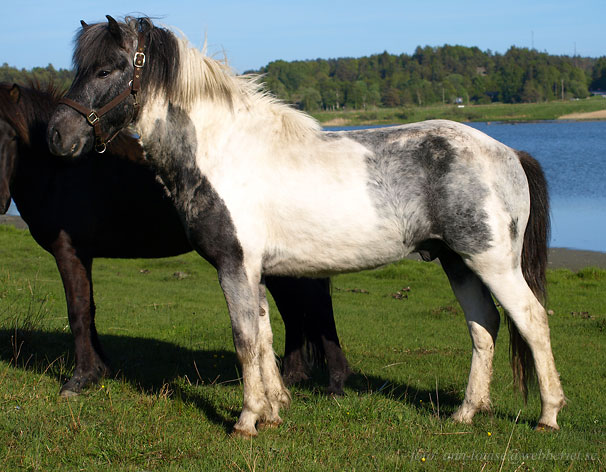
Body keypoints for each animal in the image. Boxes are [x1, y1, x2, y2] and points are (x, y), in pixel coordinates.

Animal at [0, 84, 352, 394]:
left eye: (10, 136)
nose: (0, 200)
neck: (62, 173)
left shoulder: (70, 251)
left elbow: (78, 312)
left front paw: (81, 379)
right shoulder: (81, 255)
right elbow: (89, 310)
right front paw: (99, 369)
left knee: (314, 308)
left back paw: (332, 382)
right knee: (295, 312)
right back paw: (293, 376)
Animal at [46, 16, 564, 436]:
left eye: (107, 69)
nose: (58, 134)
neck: (224, 151)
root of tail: (508, 152)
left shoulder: (234, 267)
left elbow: (244, 340)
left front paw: (247, 419)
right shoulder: (254, 271)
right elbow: (264, 336)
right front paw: (275, 410)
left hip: (492, 262)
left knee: (532, 320)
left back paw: (548, 415)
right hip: (457, 262)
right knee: (484, 327)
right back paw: (466, 413)